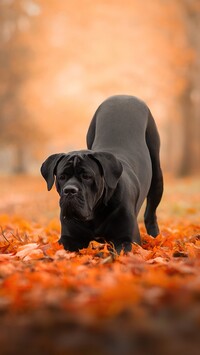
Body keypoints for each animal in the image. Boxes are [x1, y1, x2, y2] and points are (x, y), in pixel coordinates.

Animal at [40, 95, 162, 253]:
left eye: (87, 176)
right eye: (62, 177)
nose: (69, 191)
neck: (95, 215)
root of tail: (124, 96)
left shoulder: (127, 239)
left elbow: (115, 251)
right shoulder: (69, 237)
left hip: (156, 172)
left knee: (151, 212)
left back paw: (155, 236)